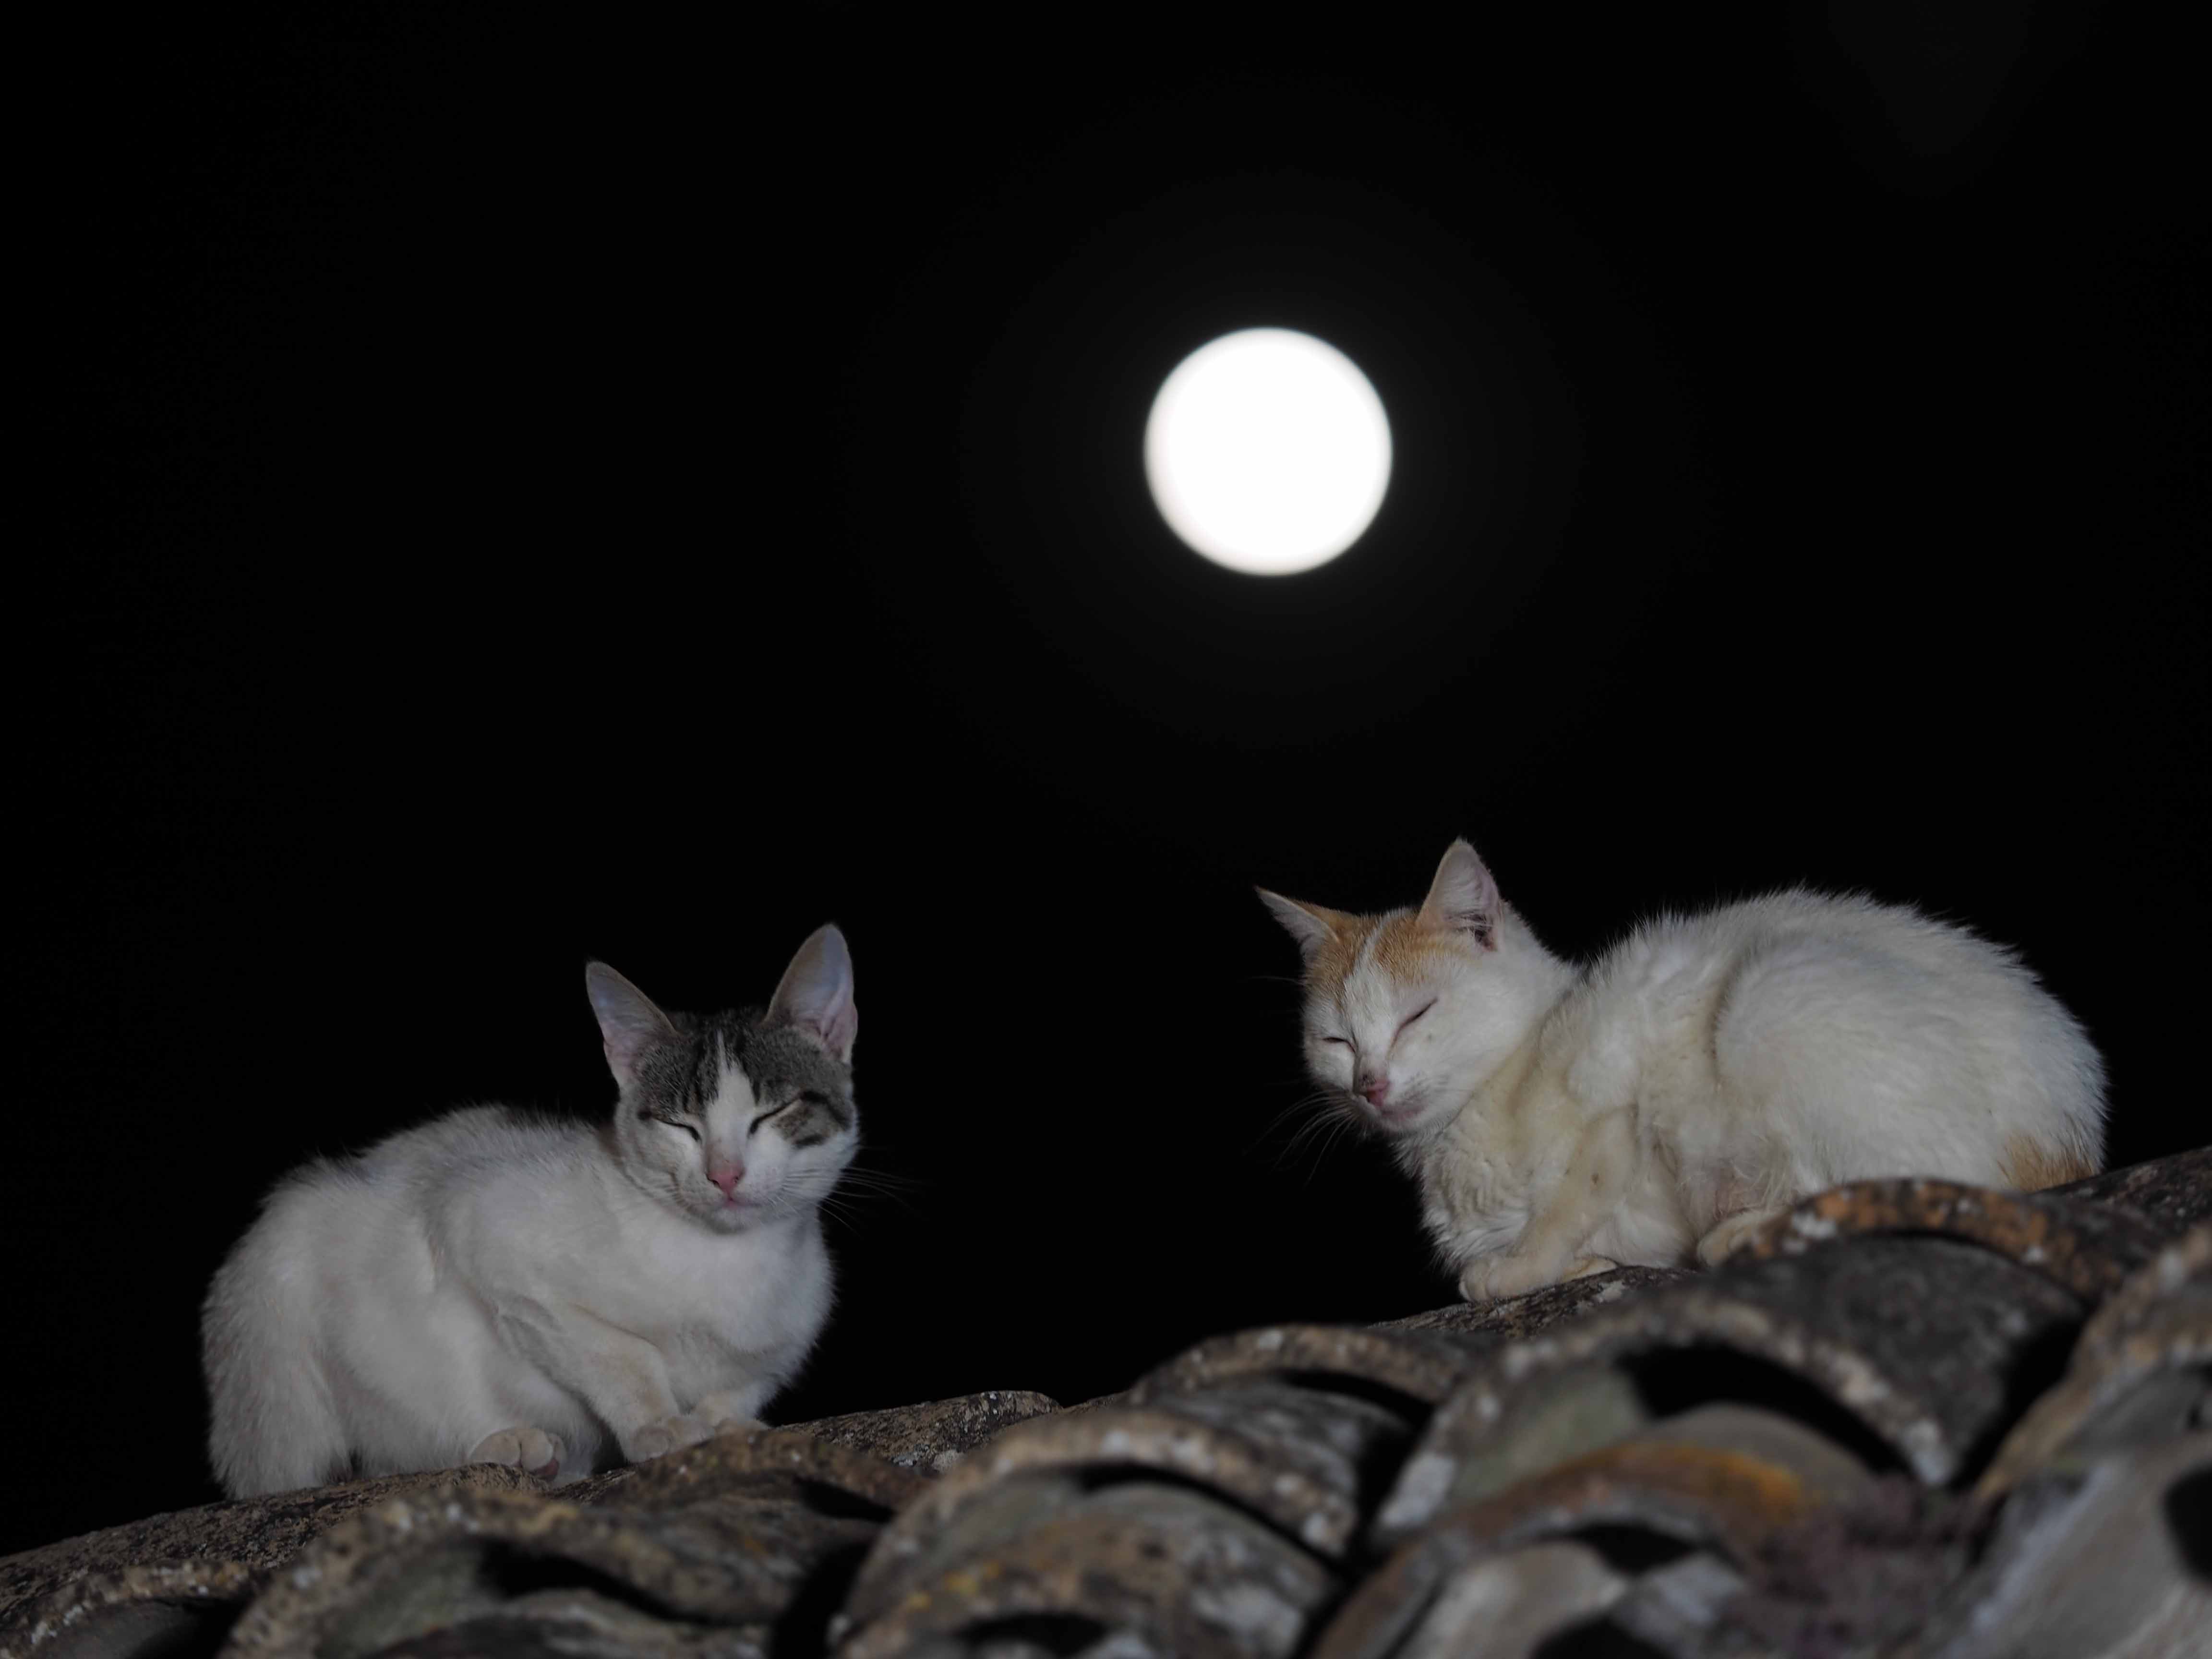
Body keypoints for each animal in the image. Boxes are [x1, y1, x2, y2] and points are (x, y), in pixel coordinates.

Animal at [201, 924, 861, 1497]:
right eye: (682, 1126)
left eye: (772, 1113)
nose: (724, 1174)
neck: (728, 1261)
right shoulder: (493, 1240)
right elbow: (622, 1355)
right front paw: (660, 1425)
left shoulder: (781, 1348)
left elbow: (741, 1388)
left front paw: (727, 1426)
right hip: (286, 1284)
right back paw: (505, 1446)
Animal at [1261, 841, 2105, 1304]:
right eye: (1337, 1040)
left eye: (1418, 1015)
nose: (1370, 1082)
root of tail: (2070, 1130)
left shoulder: (1616, 1095)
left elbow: (1569, 1199)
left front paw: (1523, 1266)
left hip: (1771, 996)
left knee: (1924, 1183)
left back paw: (1750, 1229)